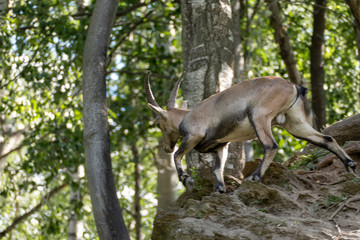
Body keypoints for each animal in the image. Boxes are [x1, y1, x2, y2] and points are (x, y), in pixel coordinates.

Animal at [146, 71, 358, 193]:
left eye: (157, 123)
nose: (166, 147)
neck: (186, 116)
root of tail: (294, 86)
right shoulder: (220, 145)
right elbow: (217, 168)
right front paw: (220, 189)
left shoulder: (193, 136)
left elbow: (178, 155)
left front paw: (186, 179)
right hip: (294, 122)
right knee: (326, 138)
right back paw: (350, 165)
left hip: (259, 116)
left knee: (271, 145)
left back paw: (254, 177)